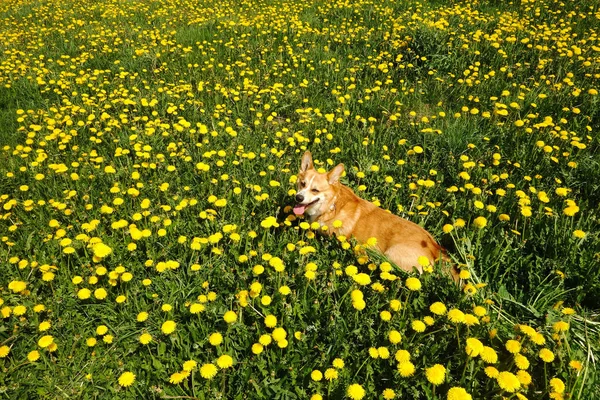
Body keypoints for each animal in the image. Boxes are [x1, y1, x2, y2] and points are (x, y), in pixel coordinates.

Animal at [292, 149, 458, 278]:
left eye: (315, 190)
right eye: (302, 184)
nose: (298, 197)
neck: (331, 205)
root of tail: (435, 247)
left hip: (391, 255)